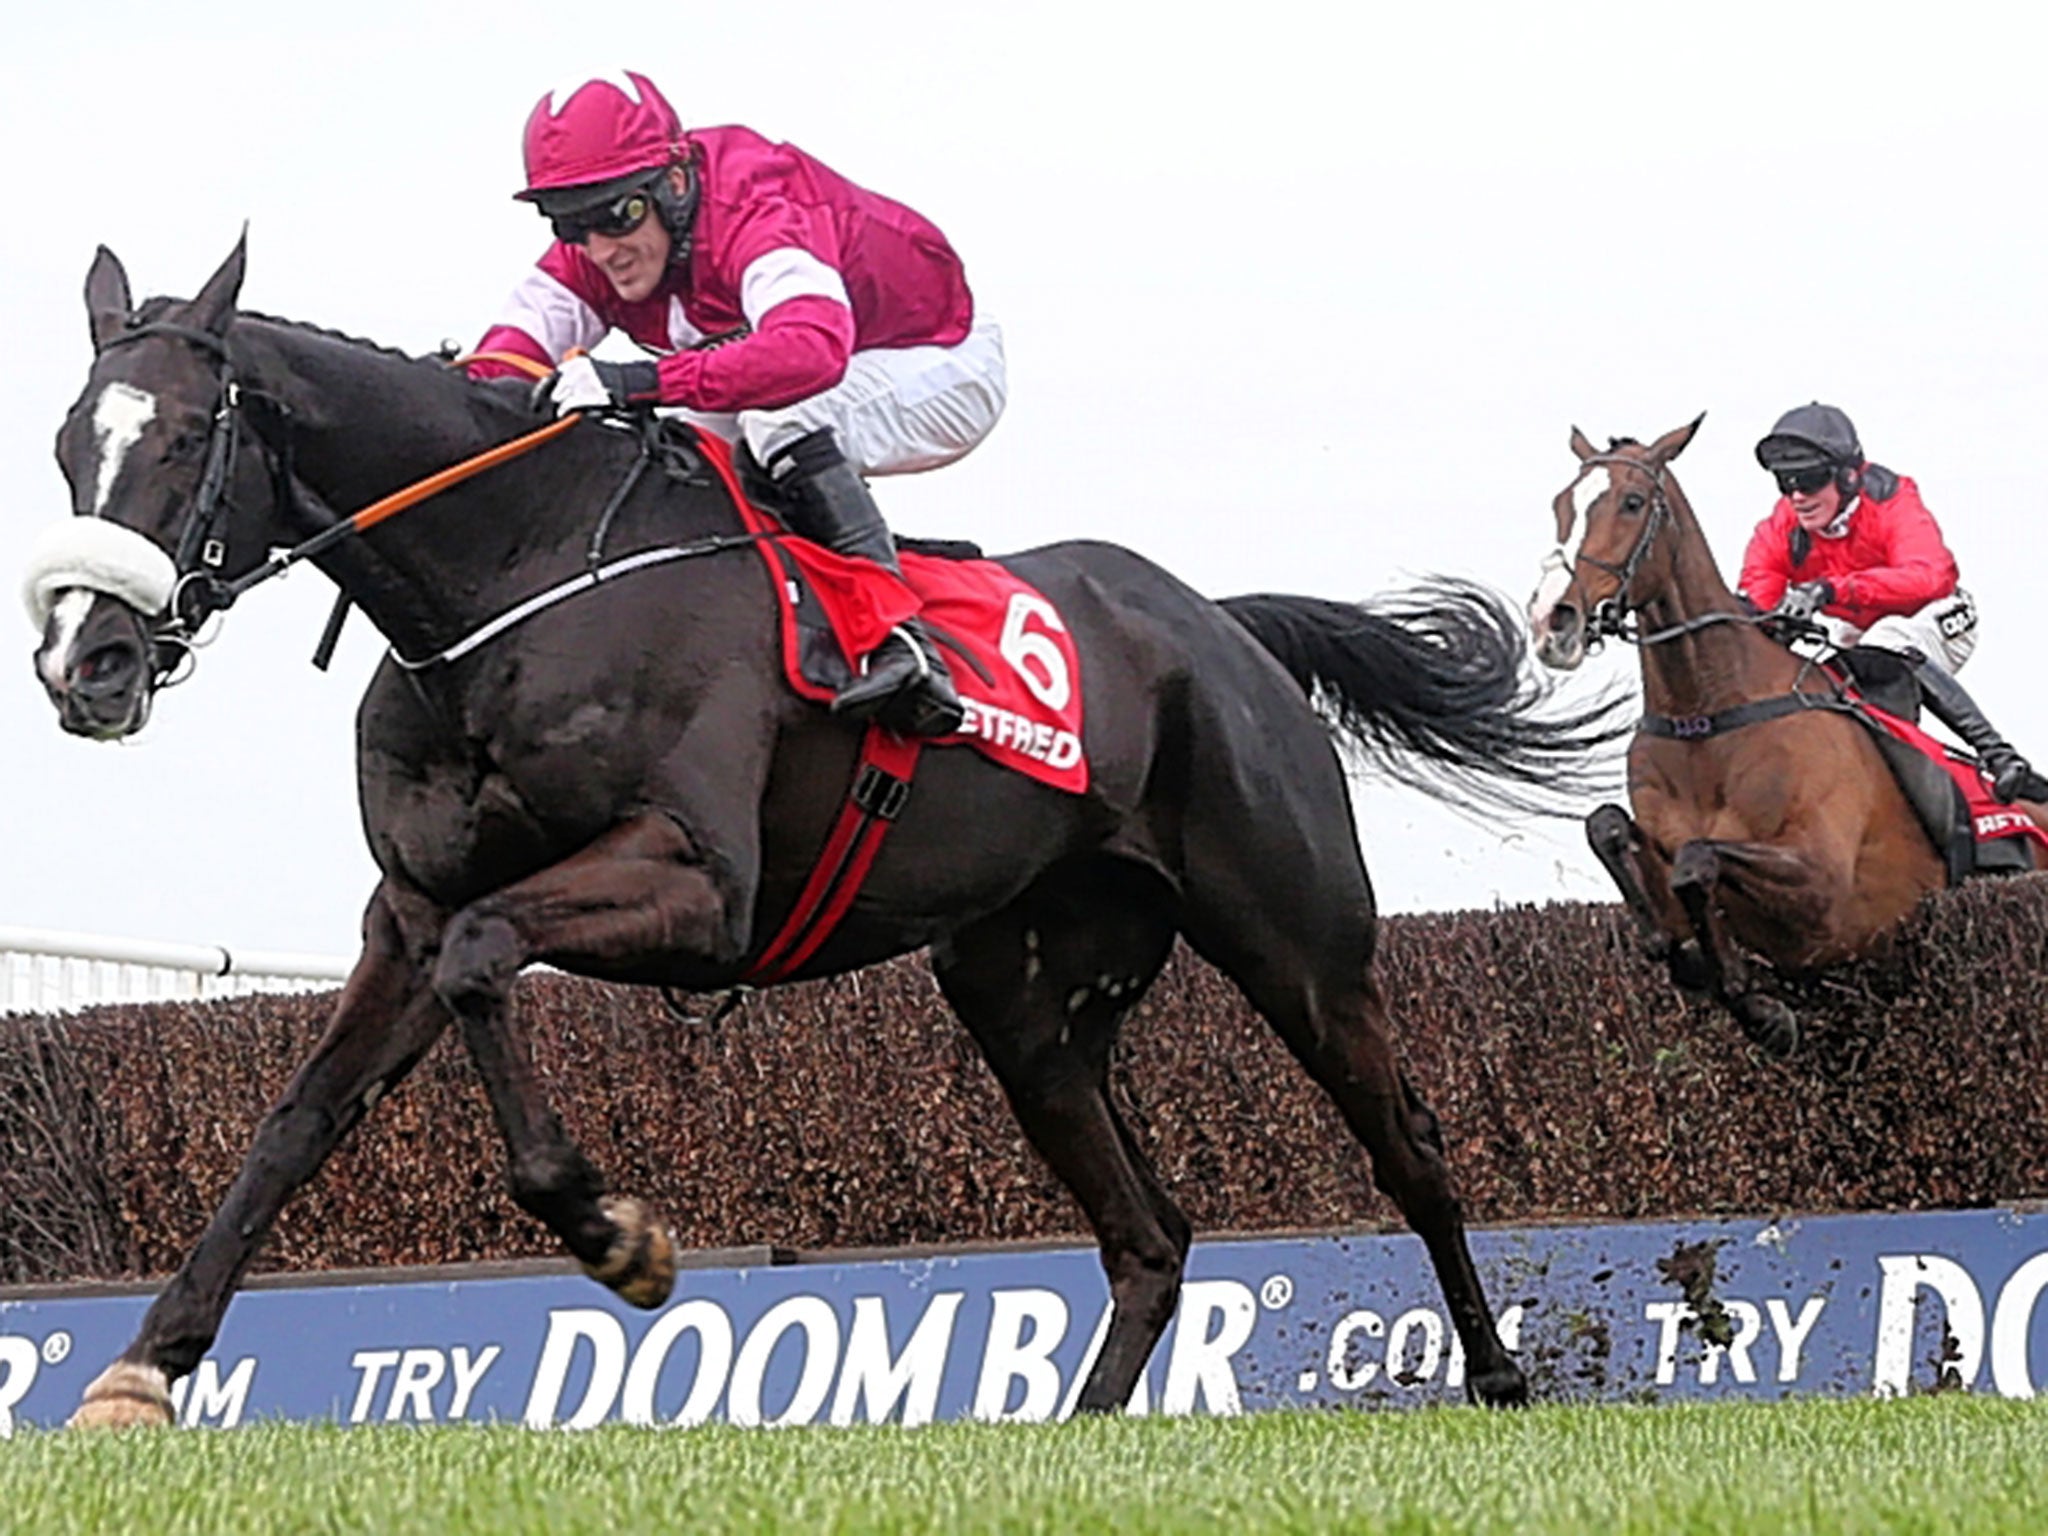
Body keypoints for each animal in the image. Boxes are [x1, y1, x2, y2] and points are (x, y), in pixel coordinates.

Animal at [28, 240, 1613, 1433]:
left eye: (184, 436)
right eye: (62, 447)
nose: (81, 662)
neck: (516, 580)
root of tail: (1216, 629)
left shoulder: (694, 887)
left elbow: (490, 957)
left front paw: (616, 1235)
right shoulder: (404, 913)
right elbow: (298, 1120)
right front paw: (142, 1369)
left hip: (1295, 942)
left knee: (1405, 1144)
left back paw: (1498, 1373)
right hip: (1022, 995)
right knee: (1147, 1233)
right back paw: (1083, 1428)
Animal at [1531, 417, 2039, 1056]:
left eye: (1632, 501)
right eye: (1560, 505)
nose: (1553, 622)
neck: (1705, 715)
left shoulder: (1825, 895)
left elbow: (1697, 862)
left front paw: (1760, 1011)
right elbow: (1609, 831)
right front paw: (1693, 961)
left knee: (1907, 646)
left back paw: (2010, 766)